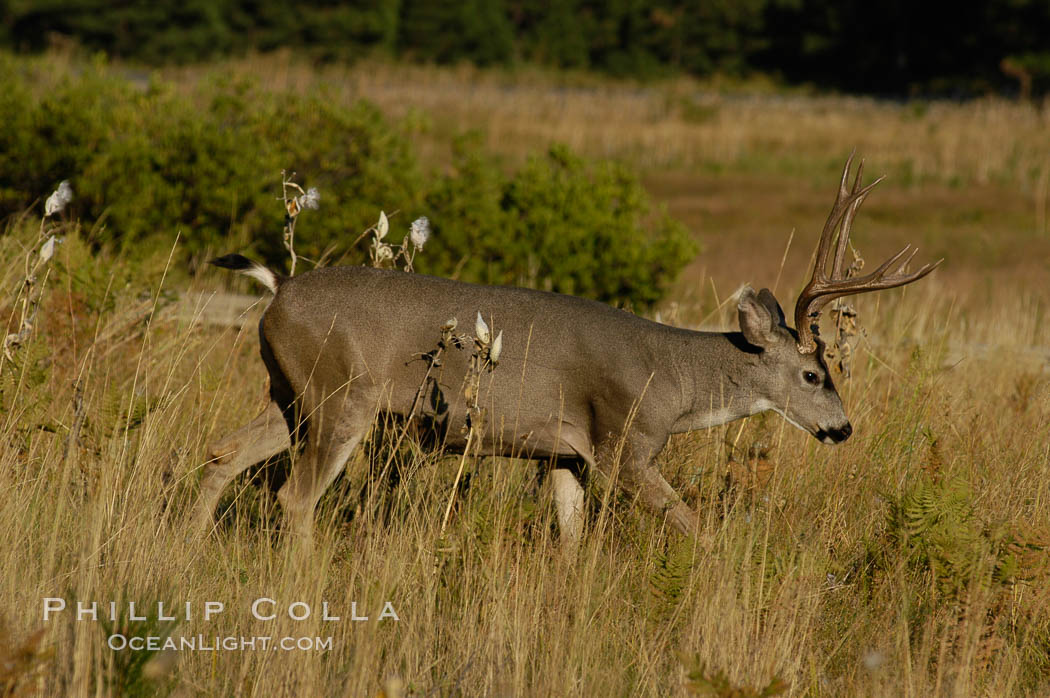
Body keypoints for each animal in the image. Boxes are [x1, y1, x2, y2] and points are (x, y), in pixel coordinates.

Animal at [195, 154, 944, 550]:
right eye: (815, 373)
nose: (843, 429)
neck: (675, 380)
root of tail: (279, 289)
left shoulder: (563, 453)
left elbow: (572, 539)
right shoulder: (623, 444)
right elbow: (695, 527)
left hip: (290, 393)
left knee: (223, 453)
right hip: (338, 396)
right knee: (293, 496)